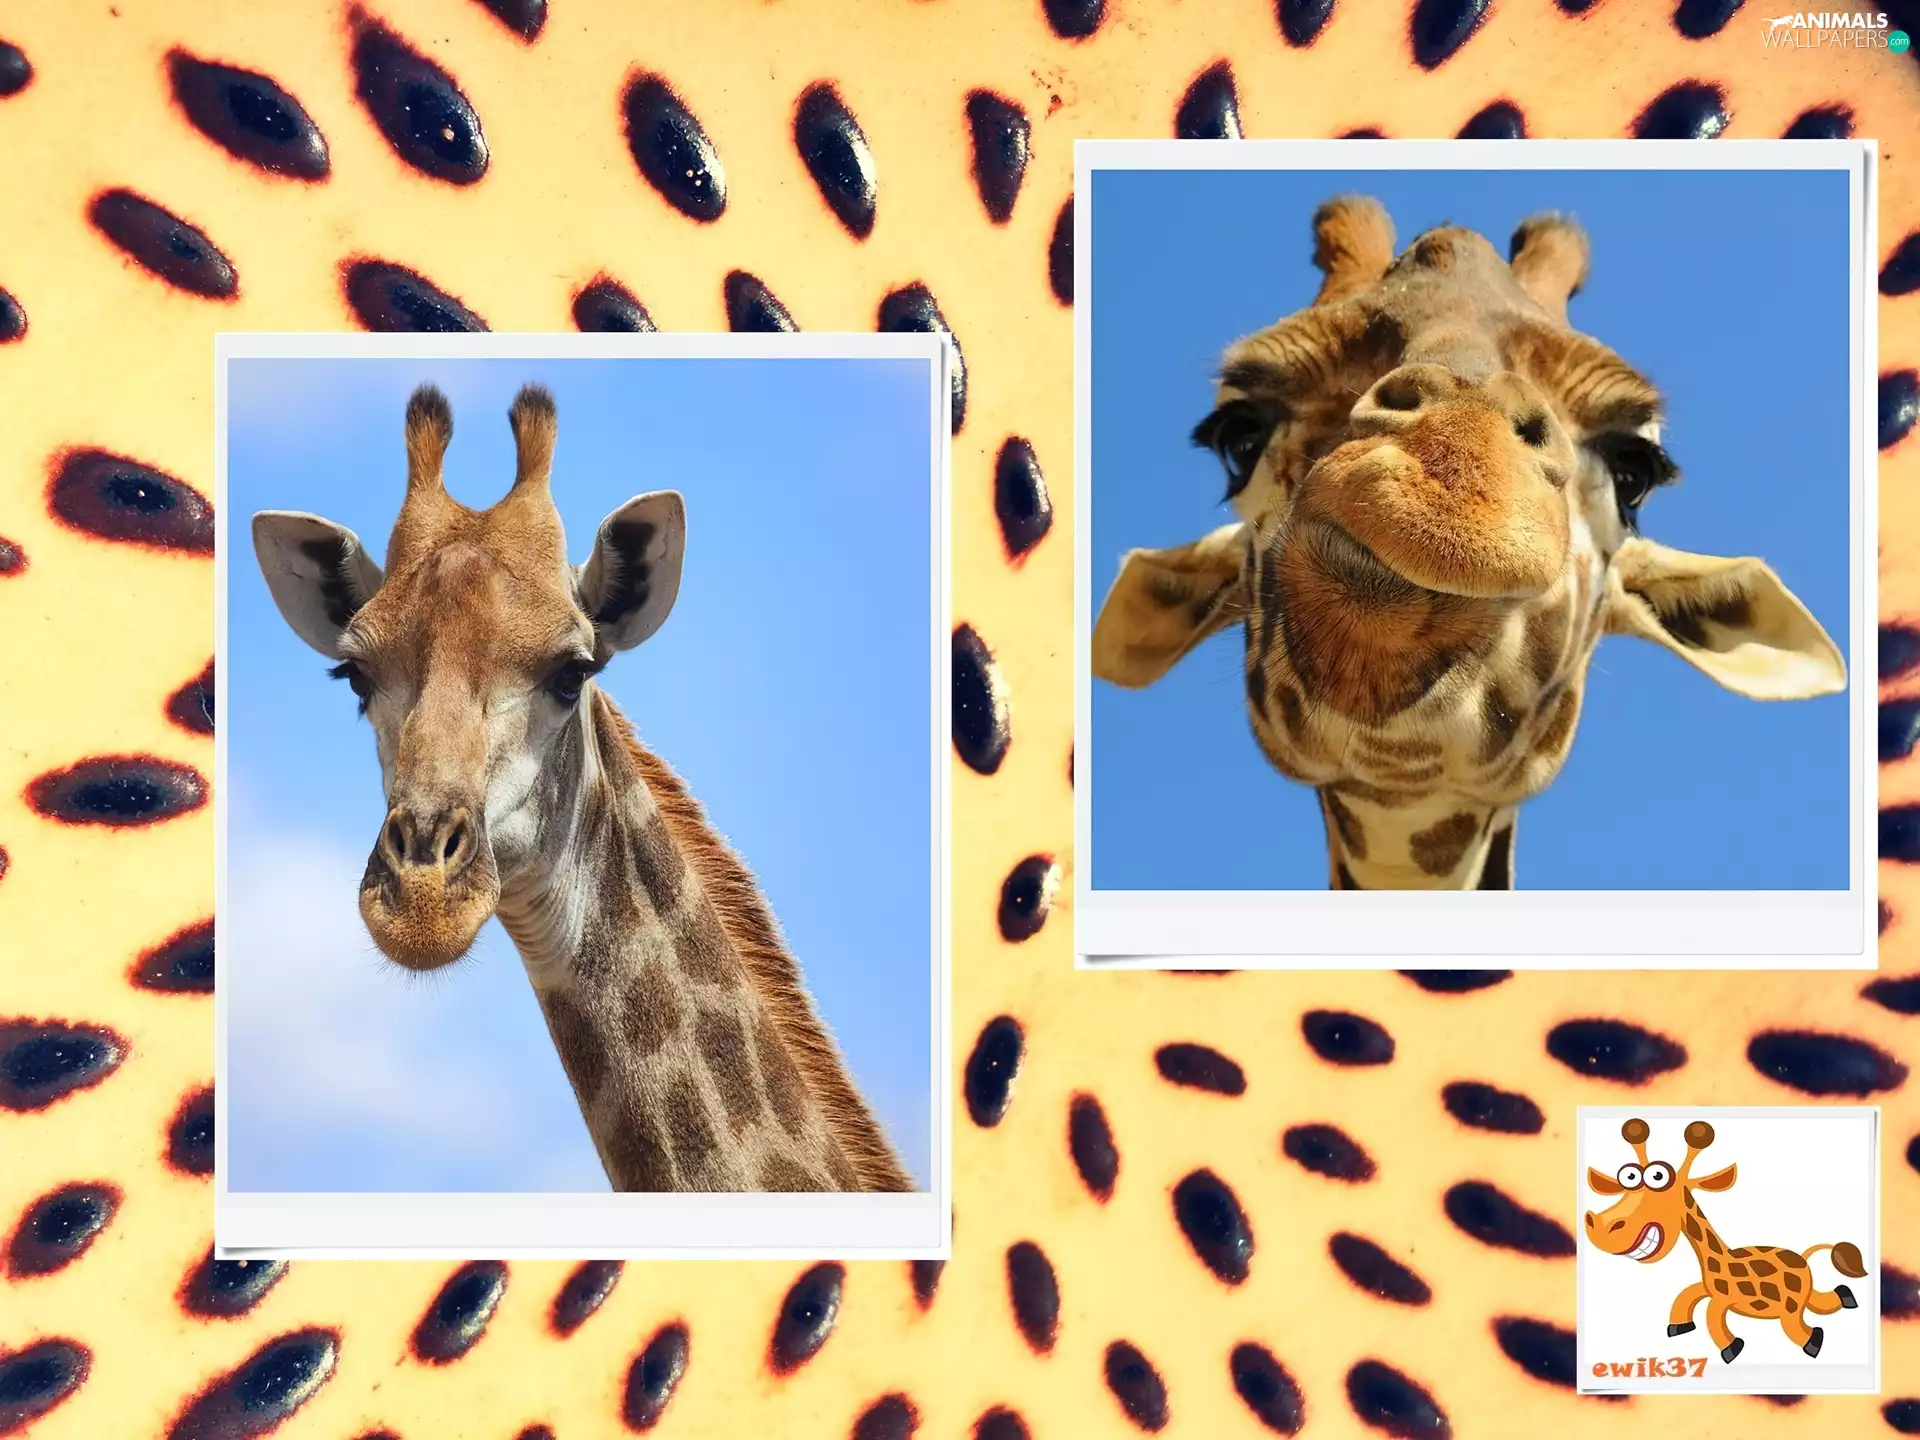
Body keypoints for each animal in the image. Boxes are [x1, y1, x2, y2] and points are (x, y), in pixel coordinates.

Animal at [1584, 1118, 1866, 1363]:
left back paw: (1814, 1339)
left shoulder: (1727, 1300)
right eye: (1628, 1178)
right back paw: (1847, 1298)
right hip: (1804, 1294)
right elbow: (1689, 1294)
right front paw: (1679, 1325)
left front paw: (1732, 1348)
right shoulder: (1709, 1289)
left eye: (1658, 1178)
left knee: (1800, 1320)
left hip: (1794, 1302)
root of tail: (1803, 1258)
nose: (1600, 1226)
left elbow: (1712, 1315)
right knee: (1825, 1299)